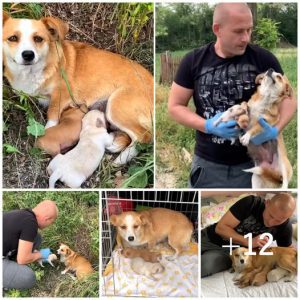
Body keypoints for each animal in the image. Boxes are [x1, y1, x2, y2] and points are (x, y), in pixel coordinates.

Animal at [1, 12, 152, 164]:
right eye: (13, 38)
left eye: (38, 39)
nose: (28, 55)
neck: (32, 71)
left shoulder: (60, 96)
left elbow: (52, 114)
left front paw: (49, 132)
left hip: (115, 106)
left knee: (145, 136)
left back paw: (122, 158)